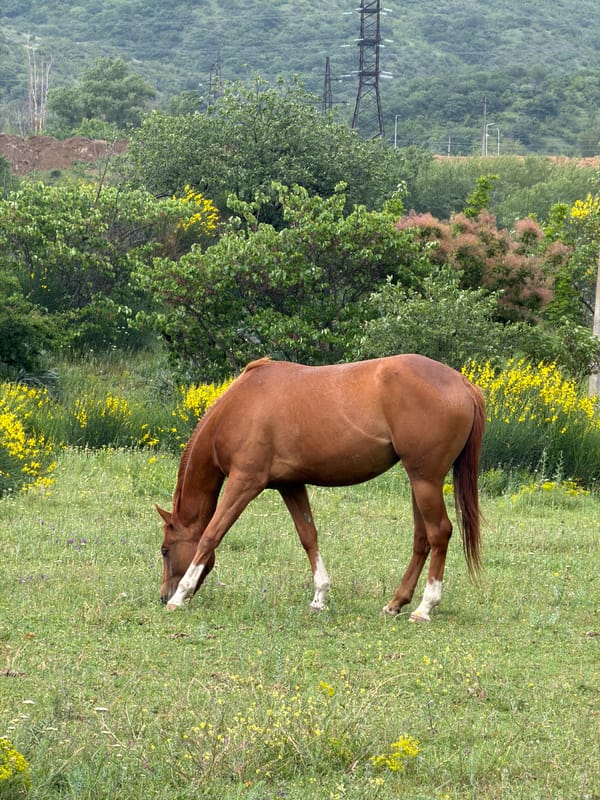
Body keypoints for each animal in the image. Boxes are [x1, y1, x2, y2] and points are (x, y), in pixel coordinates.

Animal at [157, 354, 485, 622]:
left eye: (164, 550)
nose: (162, 596)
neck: (239, 406)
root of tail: (461, 382)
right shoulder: (290, 485)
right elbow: (308, 537)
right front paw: (320, 597)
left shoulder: (244, 483)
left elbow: (210, 535)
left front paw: (180, 595)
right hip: (419, 482)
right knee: (422, 539)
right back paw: (396, 603)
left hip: (425, 480)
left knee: (439, 533)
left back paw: (424, 607)